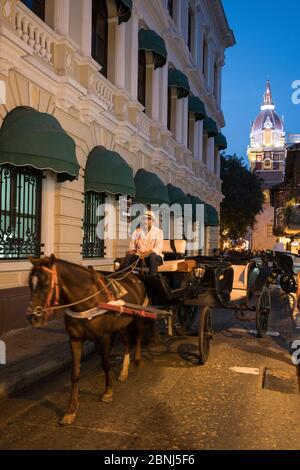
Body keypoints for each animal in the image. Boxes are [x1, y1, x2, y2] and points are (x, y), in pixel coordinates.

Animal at [26, 253, 150, 426]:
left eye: (45, 283)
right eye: (30, 283)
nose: (32, 317)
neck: (86, 301)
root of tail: (135, 277)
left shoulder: (104, 336)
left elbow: (105, 364)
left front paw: (108, 391)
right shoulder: (75, 339)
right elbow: (75, 373)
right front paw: (70, 410)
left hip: (138, 316)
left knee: (137, 337)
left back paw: (137, 360)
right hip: (122, 324)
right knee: (126, 342)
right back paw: (124, 371)